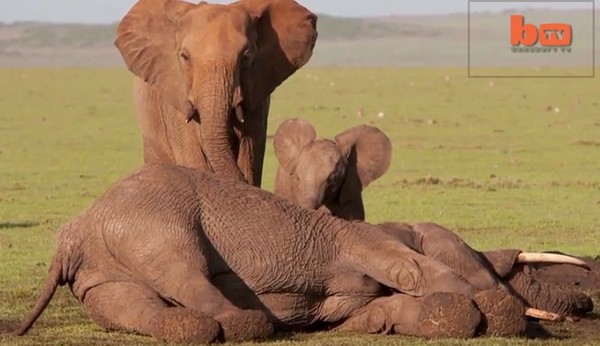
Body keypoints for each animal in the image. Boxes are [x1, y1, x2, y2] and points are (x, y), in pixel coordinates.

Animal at [0, 165, 592, 344]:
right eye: (477, 257)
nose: (583, 306)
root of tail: (72, 234)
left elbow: (374, 312)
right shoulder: (359, 238)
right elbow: (408, 267)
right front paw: (499, 312)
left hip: (101, 273)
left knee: (135, 306)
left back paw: (187, 328)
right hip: (154, 222)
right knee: (184, 269)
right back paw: (245, 324)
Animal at [113, 0, 318, 187]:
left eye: (246, 57)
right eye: (184, 57)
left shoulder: (257, 96)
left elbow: (249, 159)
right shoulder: (175, 101)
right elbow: (193, 159)